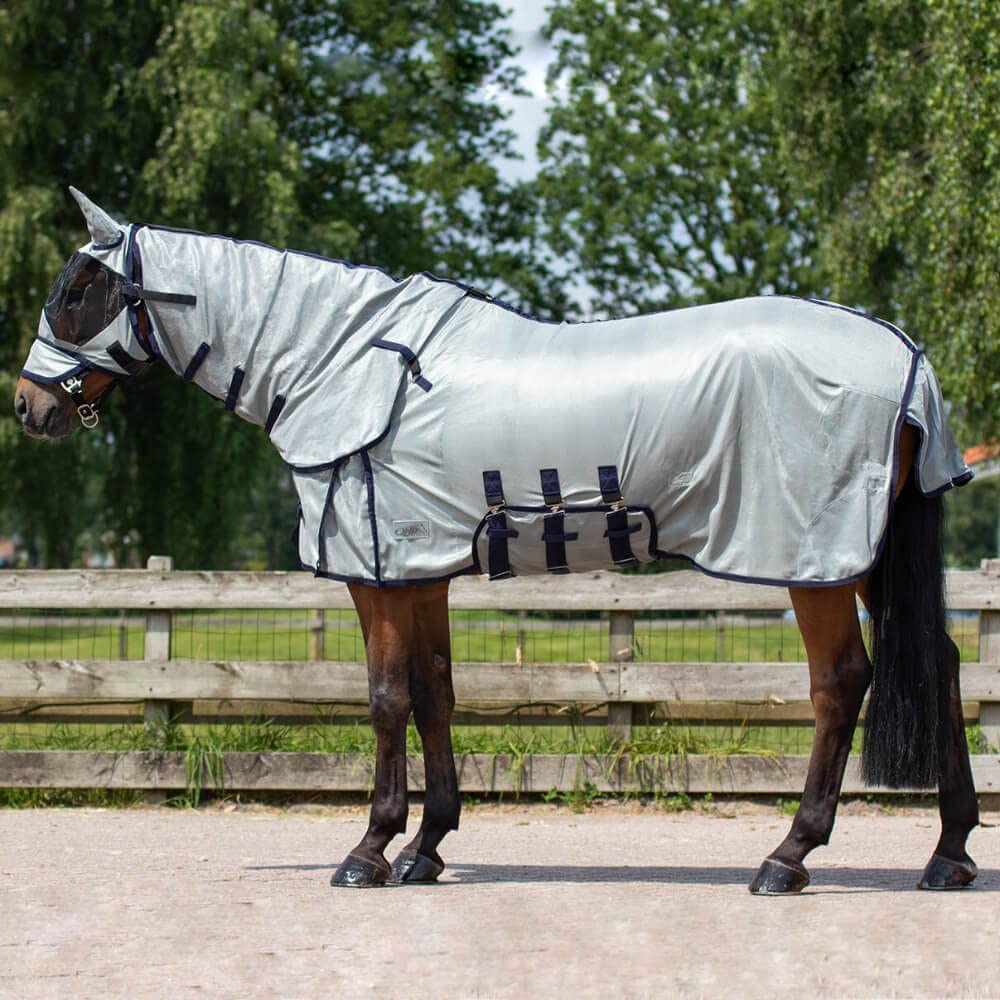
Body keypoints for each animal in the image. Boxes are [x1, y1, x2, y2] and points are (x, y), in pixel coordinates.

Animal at [13, 188, 979, 893]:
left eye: (77, 294)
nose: (29, 407)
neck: (343, 360)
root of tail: (905, 356)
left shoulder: (377, 572)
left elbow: (386, 699)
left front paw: (368, 852)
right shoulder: (418, 571)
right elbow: (436, 692)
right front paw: (426, 848)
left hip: (817, 562)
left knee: (840, 682)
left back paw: (788, 858)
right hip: (871, 557)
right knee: (939, 664)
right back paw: (950, 854)